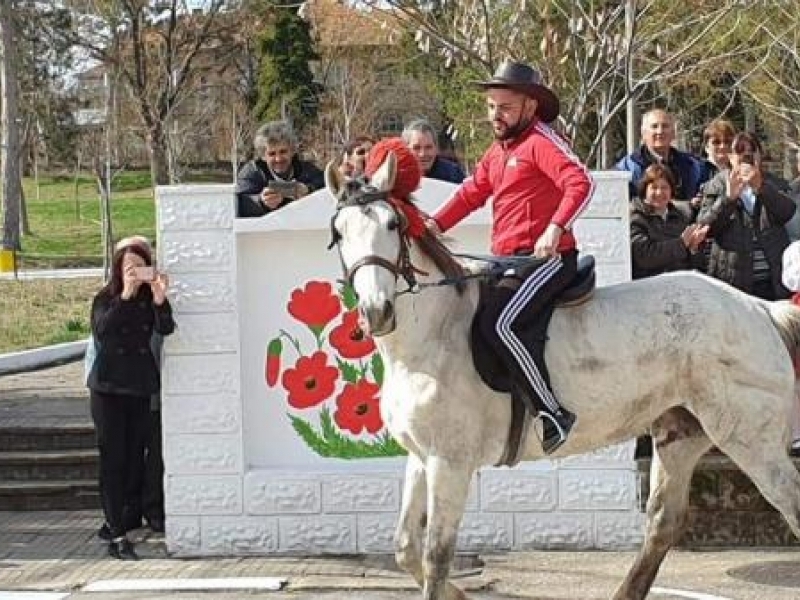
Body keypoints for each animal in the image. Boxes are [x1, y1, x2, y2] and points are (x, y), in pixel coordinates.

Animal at [322, 156, 800, 600]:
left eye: (392, 223)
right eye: (340, 232)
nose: (377, 311)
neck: (434, 335)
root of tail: (759, 308)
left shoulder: (449, 463)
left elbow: (435, 558)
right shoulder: (422, 458)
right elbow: (405, 547)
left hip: (750, 440)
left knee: (790, 503)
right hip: (680, 434)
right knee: (664, 521)